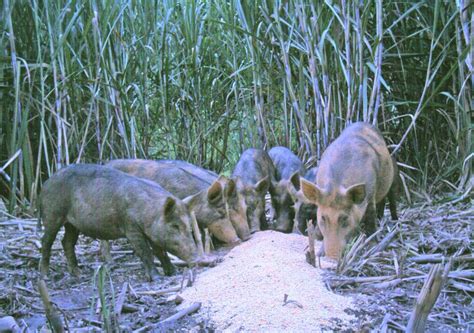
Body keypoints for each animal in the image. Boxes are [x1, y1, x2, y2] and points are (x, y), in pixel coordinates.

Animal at [38, 164, 198, 280]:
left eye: (189, 226)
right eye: (175, 226)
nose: (198, 260)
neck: (149, 212)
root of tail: (46, 182)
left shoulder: (153, 233)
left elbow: (160, 252)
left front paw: (173, 273)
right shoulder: (131, 228)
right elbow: (146, 252)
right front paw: (157, 278)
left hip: (72, 223)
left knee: (67, 242)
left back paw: (78, 274)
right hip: (52, 214)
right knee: (46, 241)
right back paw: (45, 276)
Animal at [302, 122, 398, 260]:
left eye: (344, 218)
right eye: (323, 218)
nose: (332, 258)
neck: (336, 186)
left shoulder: (370, 195)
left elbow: (370, 219)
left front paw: (373, 246)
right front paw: (320, 253)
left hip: (393, 178)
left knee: (392, 199)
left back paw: (394, 221)